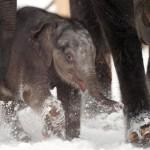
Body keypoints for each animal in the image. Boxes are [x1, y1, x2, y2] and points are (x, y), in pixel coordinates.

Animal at [0, 6, 120, 141]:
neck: (52, 21)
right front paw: (51, 134)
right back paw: (25, 139)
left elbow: (71, 99)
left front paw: (70, 139)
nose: (120, 105)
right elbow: (33, 93)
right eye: (69, 57)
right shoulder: (28, 58)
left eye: (93, 54)